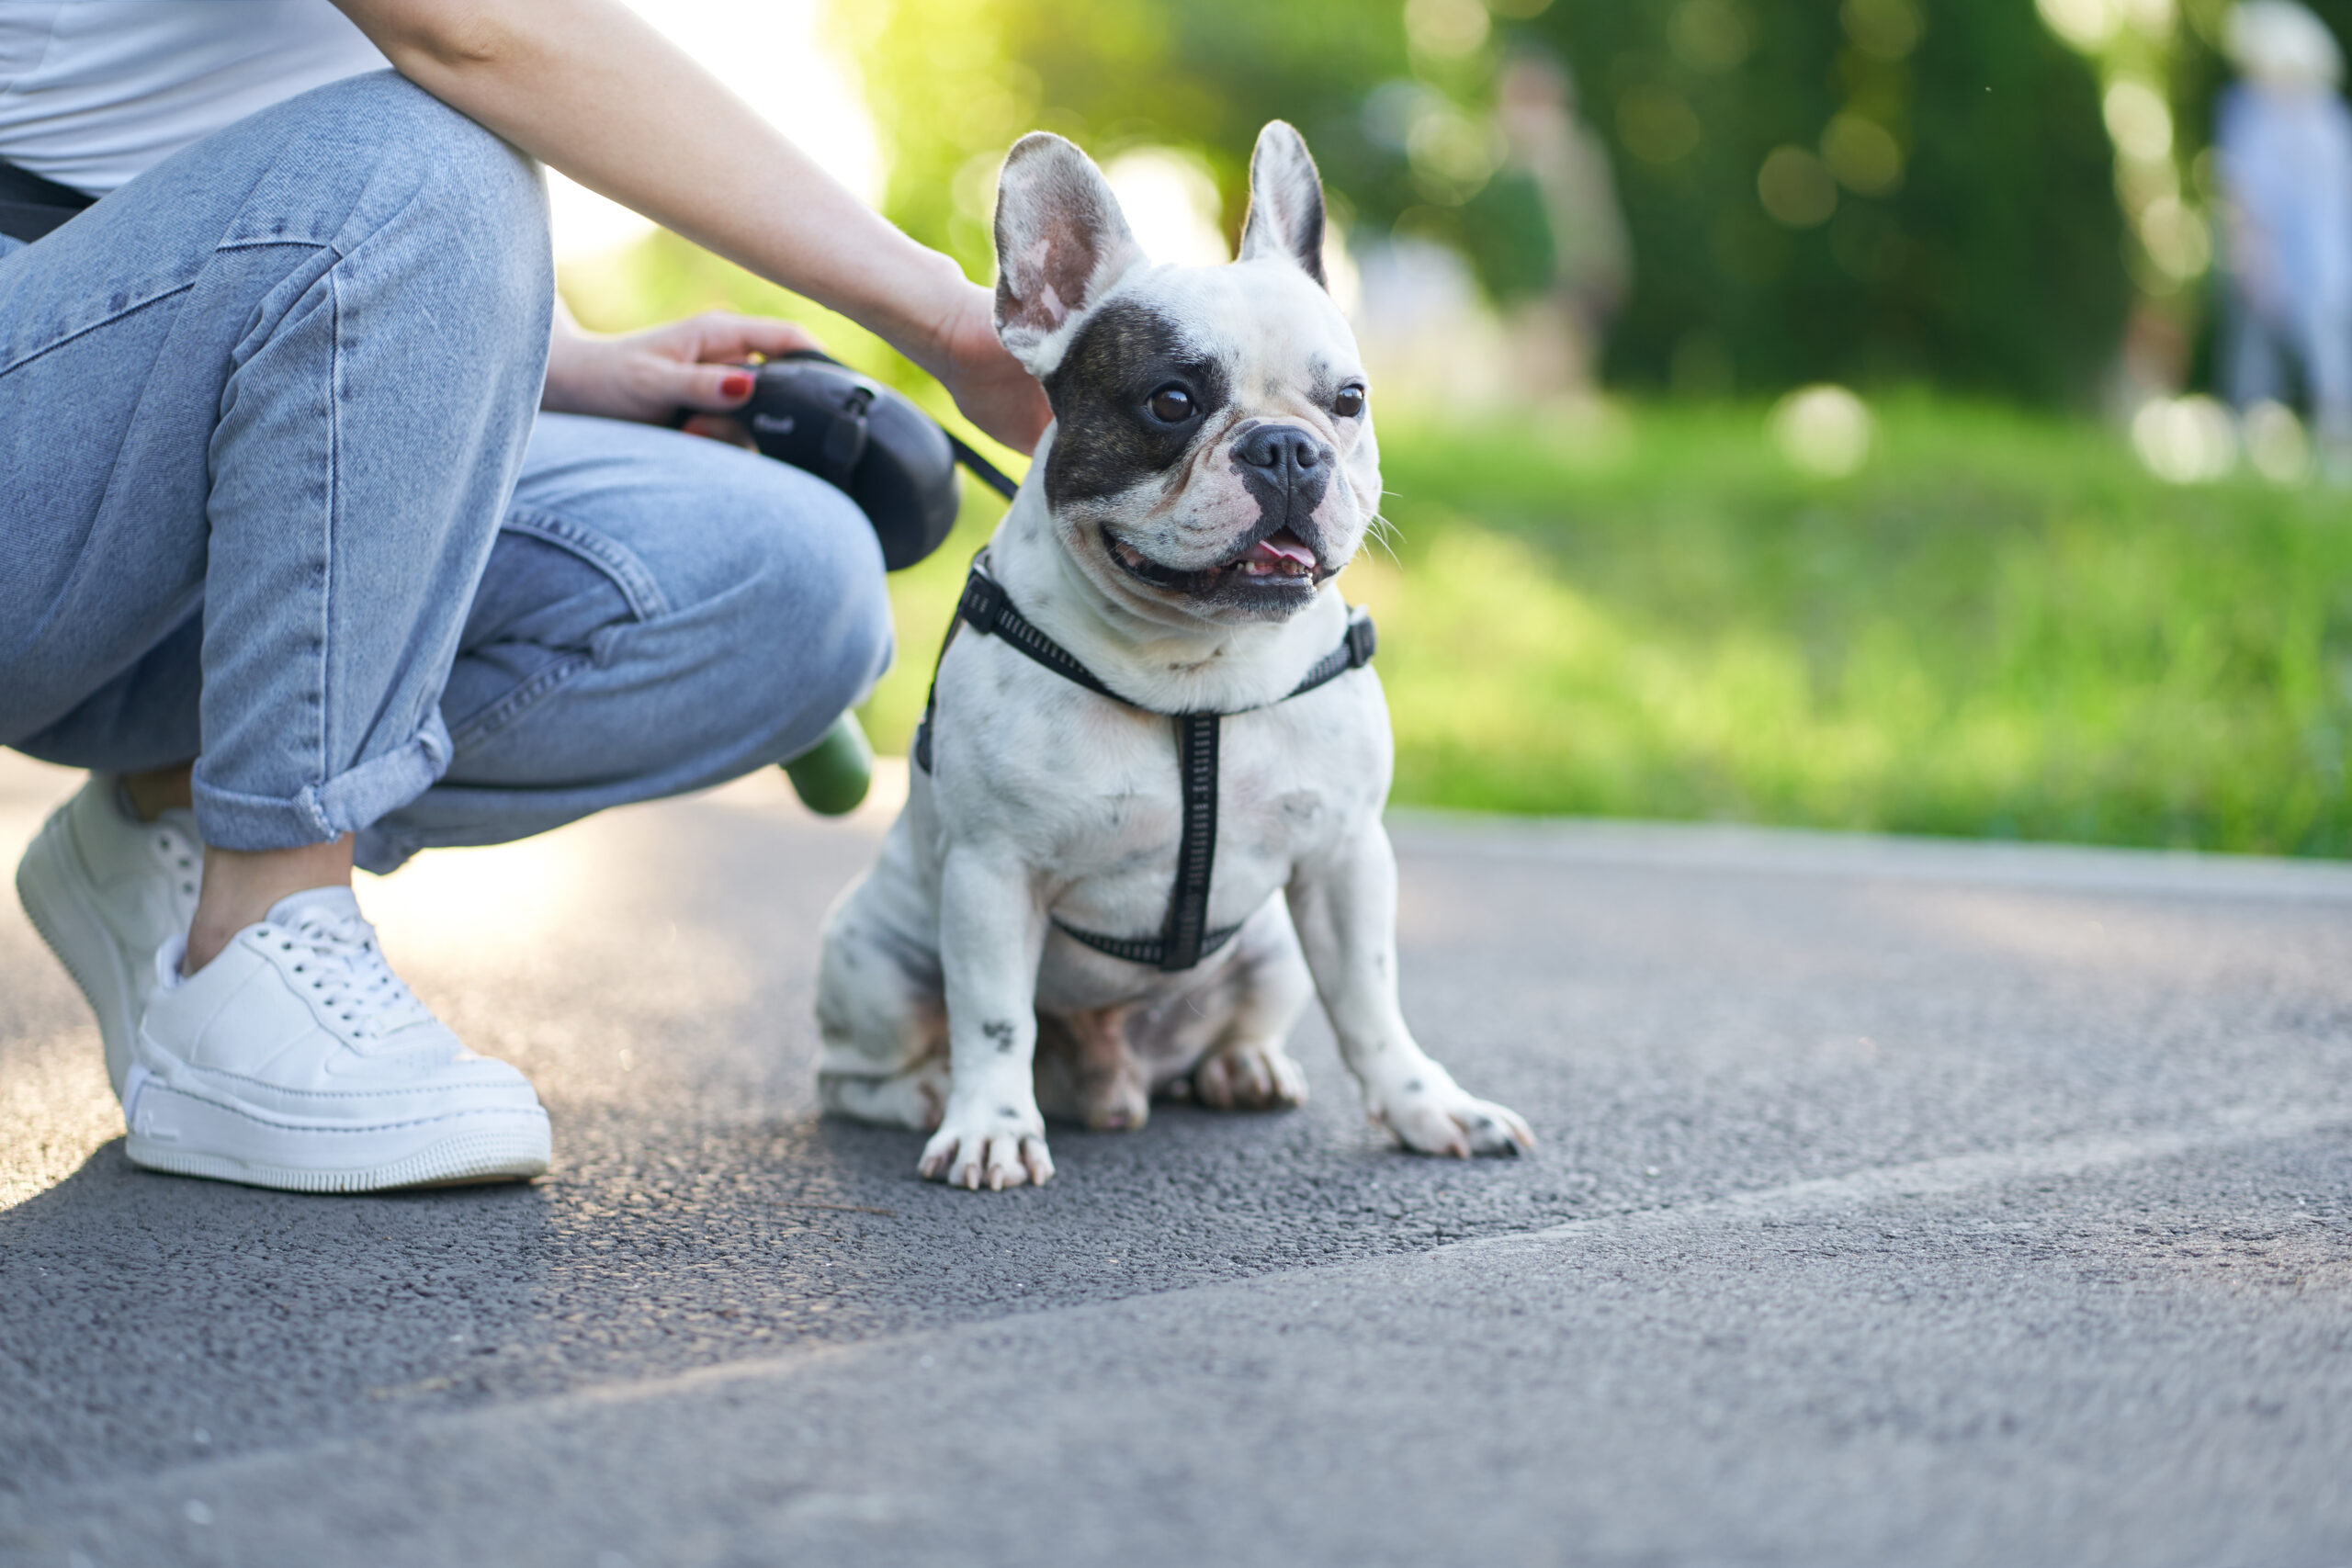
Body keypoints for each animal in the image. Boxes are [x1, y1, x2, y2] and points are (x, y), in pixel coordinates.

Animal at [818, 119, 1533, 1189]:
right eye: (1170, 401)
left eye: (1348, 399)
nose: (1286, 447)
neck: (1200, 669)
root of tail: (1109, 1078)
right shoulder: (992, 874)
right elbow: (992, 1018)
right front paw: (990, 1126)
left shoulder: (1346, 858)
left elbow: (1372, 1004)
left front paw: (1425, 1105)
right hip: (869, 956)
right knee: (858, 1072)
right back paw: (924, 1095)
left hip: (1271, 951)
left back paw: (1242, 1067)